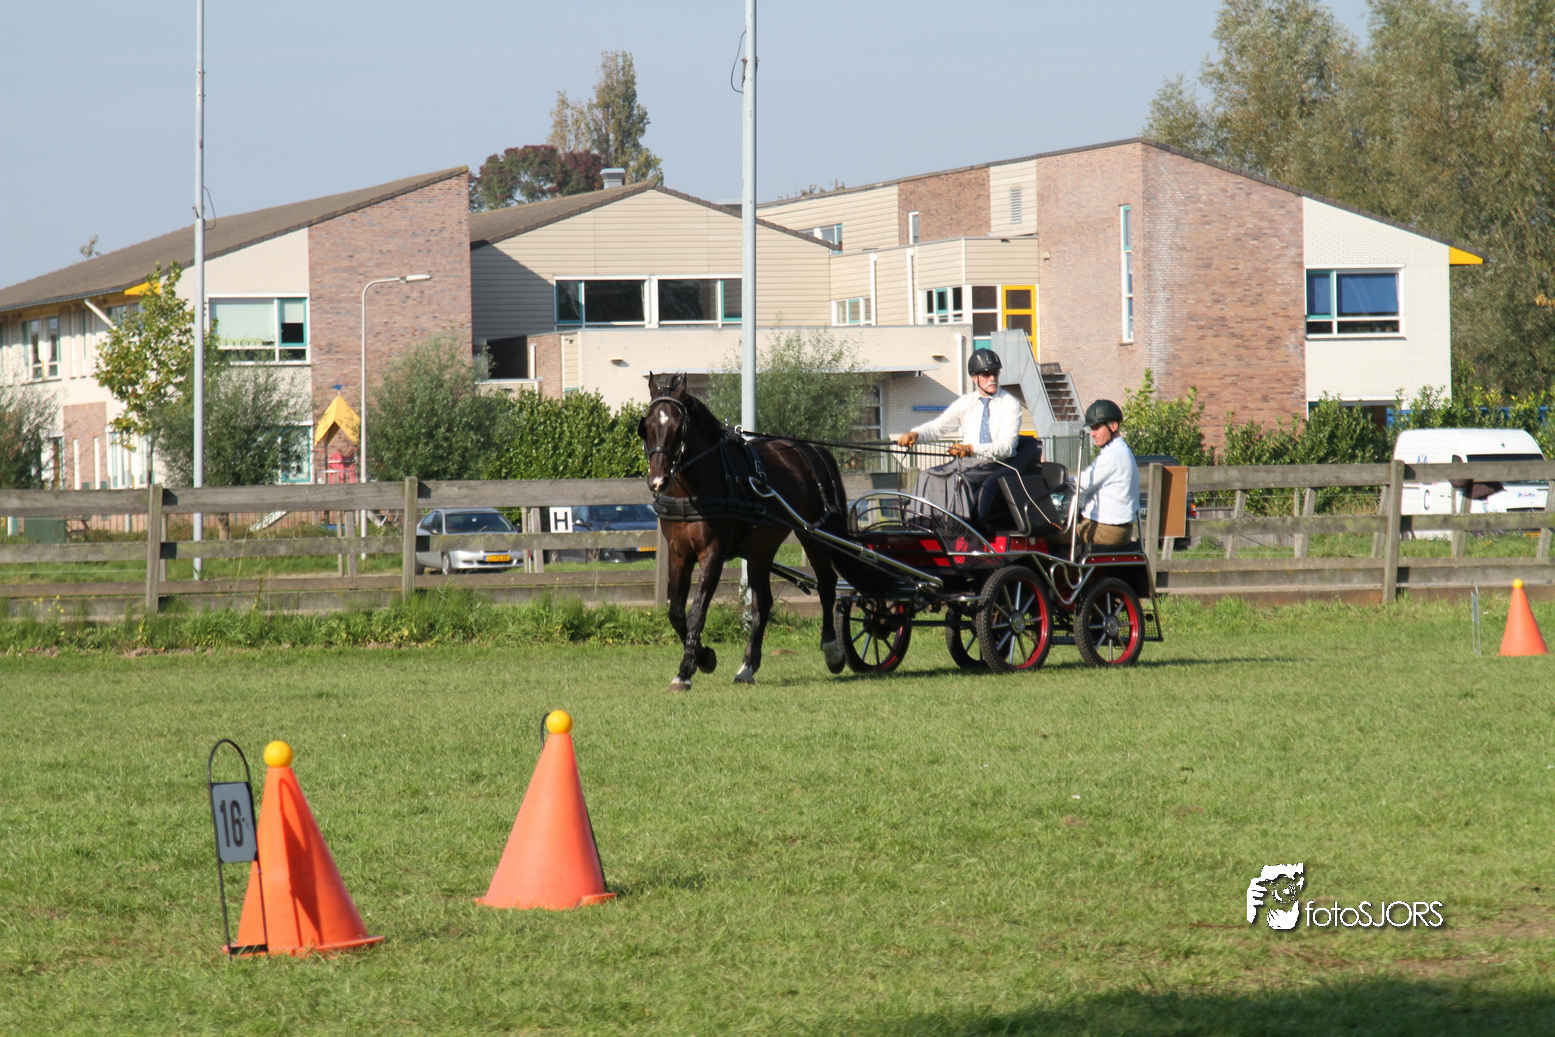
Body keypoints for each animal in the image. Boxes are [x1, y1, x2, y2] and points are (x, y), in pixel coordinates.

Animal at [638, 372, 850, 690]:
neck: (694, 491)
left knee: (826, 584)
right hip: (762, 548)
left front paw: (687, 669)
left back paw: (832, 651)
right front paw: (704, 657)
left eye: (677, 425)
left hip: (813, 533)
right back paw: (748, 665)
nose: (658, 480)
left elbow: (697, 611)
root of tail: (811, 449)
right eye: (648, 425)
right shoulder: (678, 554)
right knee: (763, 603)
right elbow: (676, 612)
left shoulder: (712, 554)